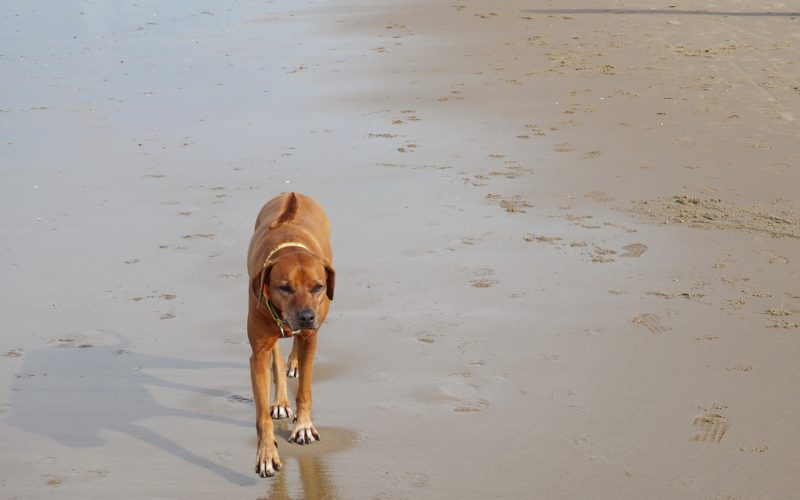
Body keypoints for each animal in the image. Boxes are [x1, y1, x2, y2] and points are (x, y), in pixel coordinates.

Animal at [244, 191, 332, 476]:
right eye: (284, 287)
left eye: (318, 286)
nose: (306, 317)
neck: (288, 246)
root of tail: (290, 193)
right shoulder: (258, 351)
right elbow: (261, 413)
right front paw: (266, 453)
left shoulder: (310, 337)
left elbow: (305, 389)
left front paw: (303, 426)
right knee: (276, 357)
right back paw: (281, 399)